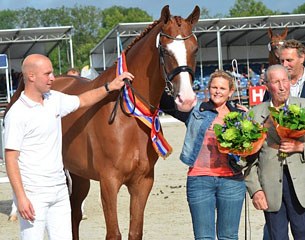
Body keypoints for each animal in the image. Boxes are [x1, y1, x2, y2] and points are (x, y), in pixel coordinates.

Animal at [52, 5, 198, 240]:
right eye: (165, 50)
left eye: (194, 49)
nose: (186, 99)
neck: (127, 117)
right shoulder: (109, 182)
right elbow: (114, 233)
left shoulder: (142, 182)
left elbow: (135, 231)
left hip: (79, 175)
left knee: (73, 215)